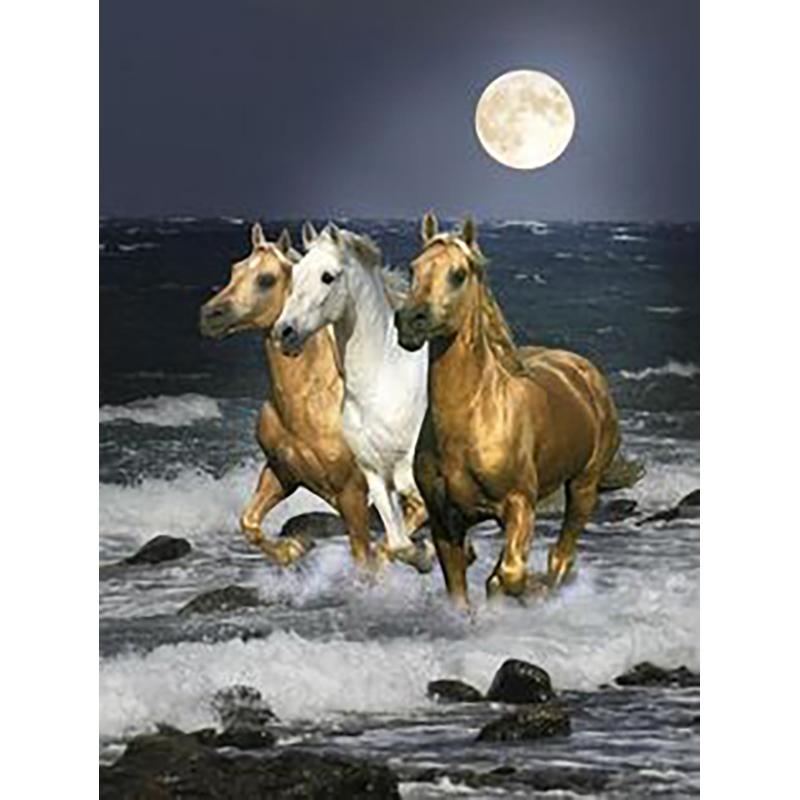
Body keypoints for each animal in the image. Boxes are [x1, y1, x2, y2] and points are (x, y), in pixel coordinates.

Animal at [198, 223, 376, 568]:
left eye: (266, 279)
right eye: (235, 269)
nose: (210, 315)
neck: (313, 400)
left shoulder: (352, 493)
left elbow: (366, 559)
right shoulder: (282, 473)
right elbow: (249, 522)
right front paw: (292, 549)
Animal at [273, 222, 433, 573]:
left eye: (327, 276)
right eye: (295, 274)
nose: (284, 332)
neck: (383, 383)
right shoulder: (375, 472)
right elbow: (399, 543)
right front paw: (424, 555)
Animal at [394, 213, 621, 608]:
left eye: (458, 274)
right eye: (413, 268)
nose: (410, 321)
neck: (472, 422)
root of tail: (584, 371)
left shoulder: (518, 503)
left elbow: (511, 574)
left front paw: (508, 588)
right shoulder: (444, 521)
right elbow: (460, 590)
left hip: (583, 485)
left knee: (562, 554)